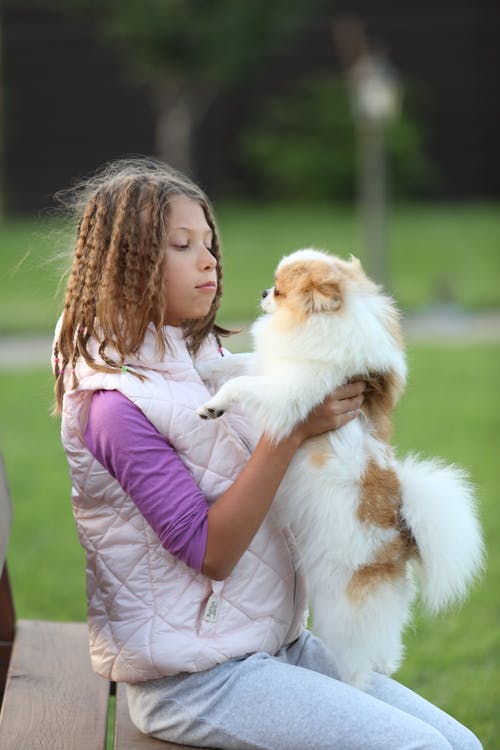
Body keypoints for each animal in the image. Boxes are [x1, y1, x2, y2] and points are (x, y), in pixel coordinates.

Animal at [195, 250, 484, 692]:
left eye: (280, 291)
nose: (262, 292)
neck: (322, 324)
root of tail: (403, 535)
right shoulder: (273, 367)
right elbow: (238, 363)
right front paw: (201, 367)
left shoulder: (289, 393)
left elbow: (240, 383)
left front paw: (213, 405)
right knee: (386, 650)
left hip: (341, 608)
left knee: (358, 662)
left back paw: (351, 684)